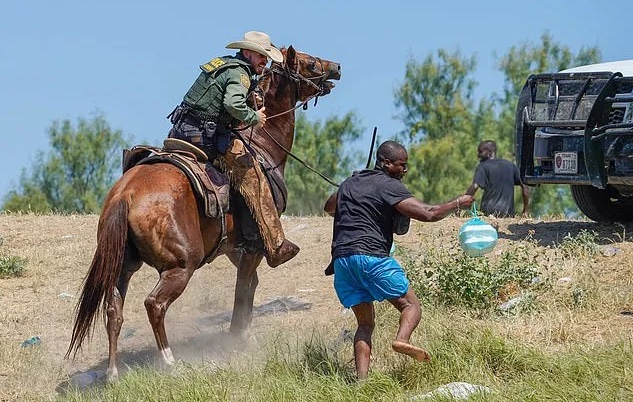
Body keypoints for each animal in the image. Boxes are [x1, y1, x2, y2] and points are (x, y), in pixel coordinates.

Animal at [66, 46, 341, 381]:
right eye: (310, 62)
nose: (337, 67)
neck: (263, 143)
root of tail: (125, 195)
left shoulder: (234, 247)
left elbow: (249, 285)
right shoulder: (254, 245)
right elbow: (243, 289)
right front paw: (239, 338)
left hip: (123, 265)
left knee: (113, 310)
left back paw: (112, 372)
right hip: (181, 266)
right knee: (154, 304)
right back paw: (169, 361)